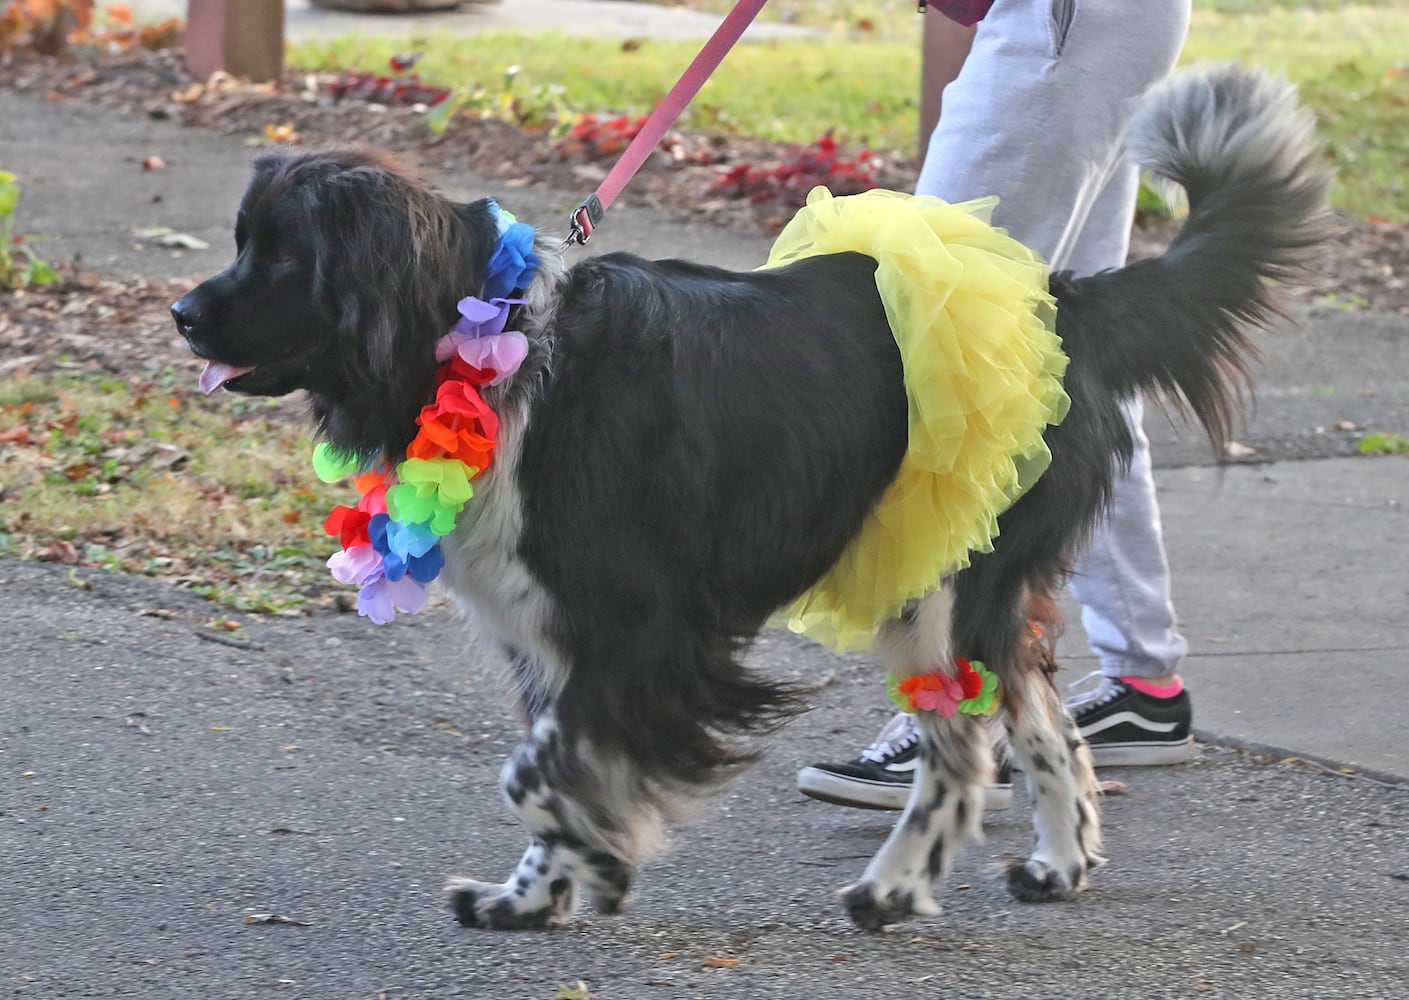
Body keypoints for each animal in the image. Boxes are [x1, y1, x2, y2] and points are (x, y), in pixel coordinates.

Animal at [170, 68, 1324, 929]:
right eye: (238, 242)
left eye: (284, 258)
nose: (181, 312)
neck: (490, 345)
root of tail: (1063, 302)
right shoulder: (552, 635)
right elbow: (554, 762)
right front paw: (533, 894)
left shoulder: (644, 625)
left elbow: (540, 769)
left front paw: (597, 859)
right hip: (961, 587)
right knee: (1038, 728)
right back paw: (1048, 865)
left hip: (944, 584)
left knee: (962, 751)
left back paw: (893, 889)